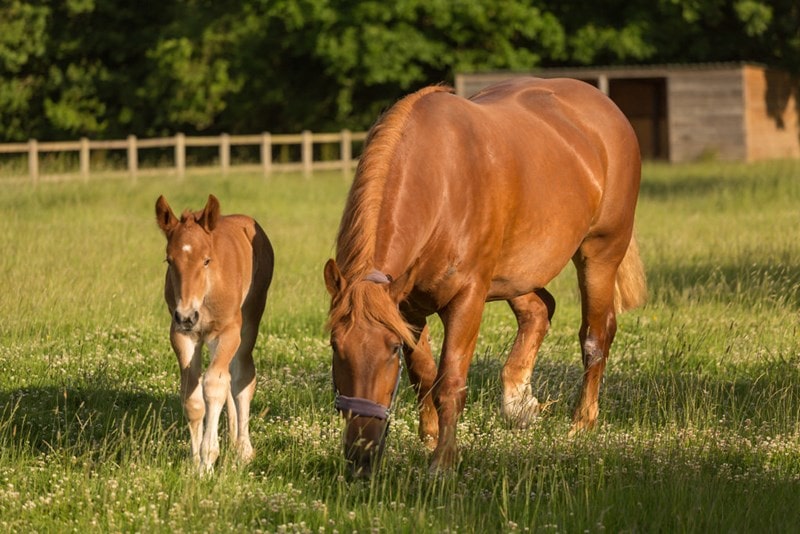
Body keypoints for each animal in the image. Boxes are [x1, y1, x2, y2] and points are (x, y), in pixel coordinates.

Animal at [156, 195, 276, 472]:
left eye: (206, 260)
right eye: (169, 261)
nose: (187, 316)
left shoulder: (227, 333)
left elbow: (214, 386)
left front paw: (208, 460)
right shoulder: (182, 336)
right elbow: (192, 395)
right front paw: (195, 463)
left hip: (249, 322)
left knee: (242, 376)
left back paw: (243, 449)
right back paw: (233, 441)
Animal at [322, 77, 648, 480]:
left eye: (392, 349)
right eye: (335, 346)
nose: (361, 457)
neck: (439, 180)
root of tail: (605, 107)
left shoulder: (467, 298)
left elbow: (450, 382)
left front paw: (443, 462)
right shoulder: (408, 307)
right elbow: (424, 375)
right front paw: (429, 438)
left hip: (599, 254)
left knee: (595, 336)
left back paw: (581, 423)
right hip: (515, 273)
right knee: (540, 310)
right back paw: (518, 402)